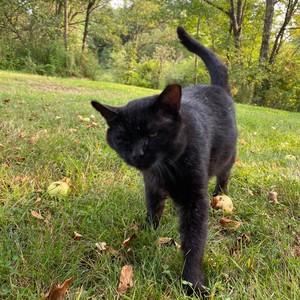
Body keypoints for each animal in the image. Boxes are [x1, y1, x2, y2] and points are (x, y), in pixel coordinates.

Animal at [91, 25, 237, 296]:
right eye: (124, 137)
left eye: (152, 134)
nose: (138, 153)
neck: (166, 167)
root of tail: (217, 87)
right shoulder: (152, 187)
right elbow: (153, 211)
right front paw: (149, 233)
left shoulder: (194, 200)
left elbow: (193, 242)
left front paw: (193, 283)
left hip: (228, 157)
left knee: (224, 176)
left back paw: (221, 194)